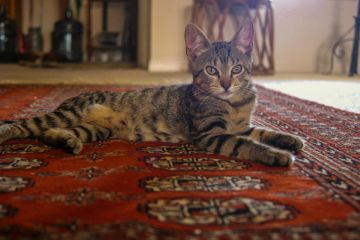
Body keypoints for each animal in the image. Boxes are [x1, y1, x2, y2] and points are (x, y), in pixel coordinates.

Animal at [0, 20, 302, 166]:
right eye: (211, 70)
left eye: (237, 69)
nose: (227, 84)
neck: (235, 103)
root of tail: (69, 99)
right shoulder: (211, 133)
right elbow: (245, 144)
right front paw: (275, 155)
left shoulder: (241, 126)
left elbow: (261, 131)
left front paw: (288, 139)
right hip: (69, 115)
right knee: (24, 125)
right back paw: (9, 133)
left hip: (95, 129)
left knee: (46, 133)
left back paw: (67, 142)